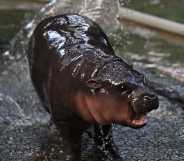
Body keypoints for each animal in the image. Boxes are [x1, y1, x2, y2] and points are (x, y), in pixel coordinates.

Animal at [28, 14, 159, 161]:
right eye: (122, 87)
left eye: (143, 78)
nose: (150, 96)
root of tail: (57, 16)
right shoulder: (65, 120)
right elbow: (70, 143)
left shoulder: (102, 116)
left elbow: (104, 138)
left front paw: (112, 156)